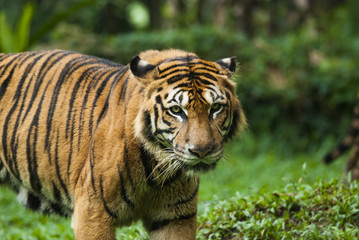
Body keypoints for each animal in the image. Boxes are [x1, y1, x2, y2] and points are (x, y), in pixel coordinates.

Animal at [0, 49, 248, 240]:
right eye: (177, 110)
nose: (202, 151)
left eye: (215, 108)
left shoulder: (176, 217)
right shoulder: (92, 214)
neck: (158, 167)